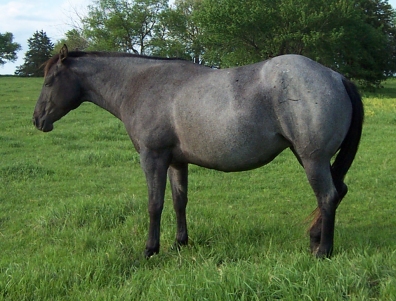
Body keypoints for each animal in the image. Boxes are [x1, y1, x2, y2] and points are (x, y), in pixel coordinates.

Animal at [32, 45, 364, 258]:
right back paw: (315, 240)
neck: (141, 84)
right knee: (338, 192)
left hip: (312, 159)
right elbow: (180, 202)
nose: (37, 120)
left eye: (49, 81)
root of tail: (335, 76)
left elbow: (154, 204)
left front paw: (150, 250)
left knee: (328, 197)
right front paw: (180, 243)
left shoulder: (152, 158)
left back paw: (322, 252)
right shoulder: (176, 162)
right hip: (310, 157)